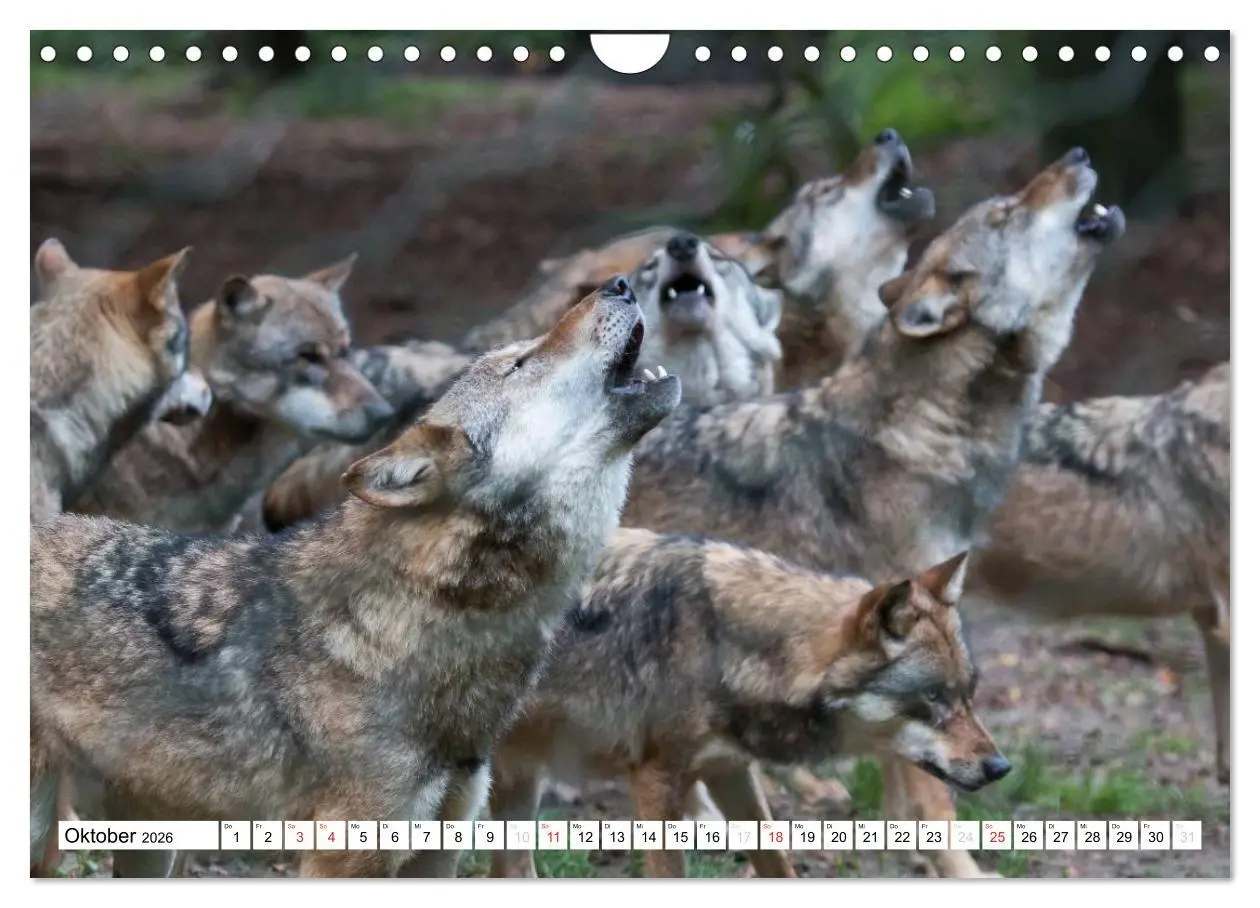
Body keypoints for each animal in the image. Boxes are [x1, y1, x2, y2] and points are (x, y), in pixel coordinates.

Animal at [490, 535, 1008, 878]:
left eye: (968, 694)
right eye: (933, 697)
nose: (1001, 767)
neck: (725, 644)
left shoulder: (729, 771)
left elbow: (779, 864)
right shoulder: (656, 778)